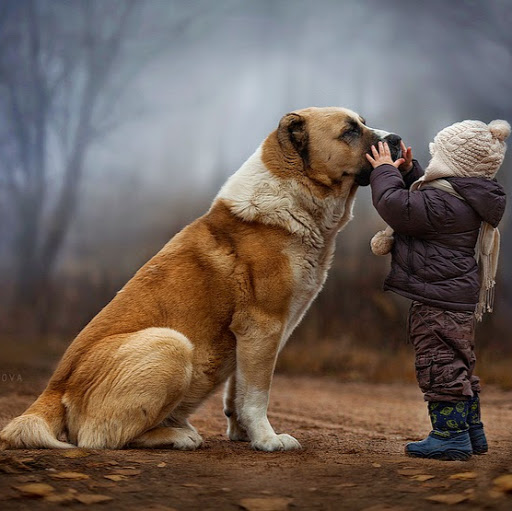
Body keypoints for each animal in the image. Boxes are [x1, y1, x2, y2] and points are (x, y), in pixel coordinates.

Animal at [1, 107, 400, 452]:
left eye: (364, 123)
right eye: (349, 131)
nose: (396, 139)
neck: (295, 196)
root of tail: (52, 389)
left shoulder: (253, 337)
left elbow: (239, 390)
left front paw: (243, 434)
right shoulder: (263, 326)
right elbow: (258, 393)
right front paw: (268, 440)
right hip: (171, 343)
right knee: (99, 437)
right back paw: (180, 436)